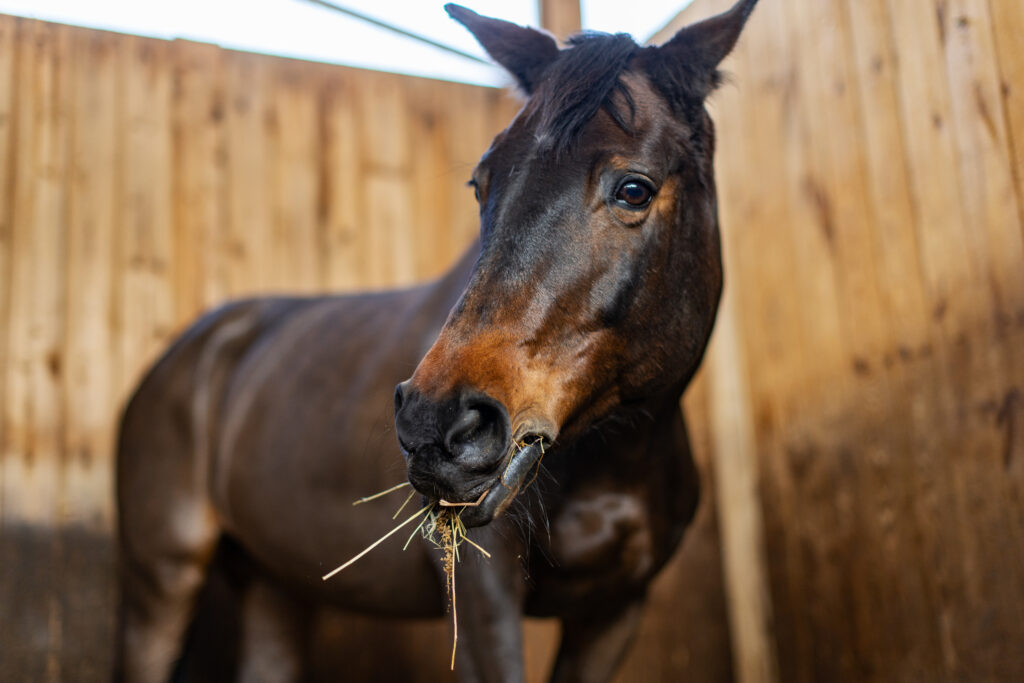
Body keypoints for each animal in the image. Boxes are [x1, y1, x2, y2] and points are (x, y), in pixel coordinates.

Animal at [114, 1, 759, 681]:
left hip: (274, 584)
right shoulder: (481, 597)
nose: (435, 423)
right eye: (481, 183)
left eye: (634, 188)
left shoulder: (614, 613)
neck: (616, 458)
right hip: (161, 581)